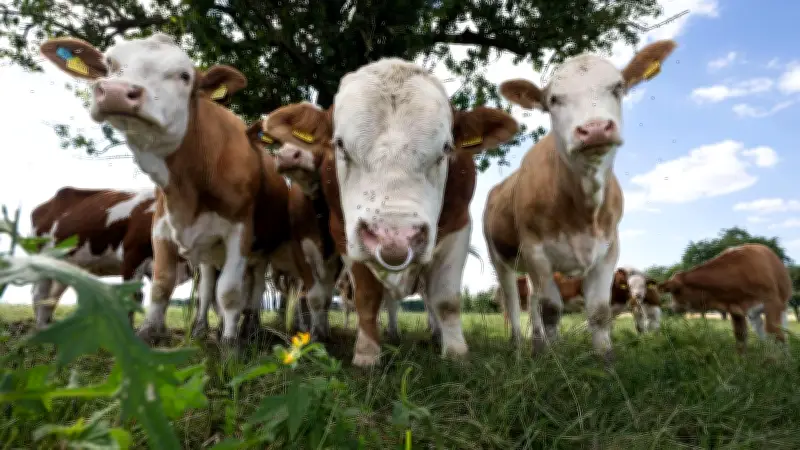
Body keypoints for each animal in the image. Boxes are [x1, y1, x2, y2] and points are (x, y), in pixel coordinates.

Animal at [30, 186, 192, 329]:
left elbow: (162, 293)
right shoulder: (132, 255)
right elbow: (134, 296)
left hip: (68, 266)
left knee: (52, 297)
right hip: (44, 260)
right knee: (39, 294)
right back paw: (41, 328)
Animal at [262, 58, 519, 366]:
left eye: (446, 148)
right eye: (339, 144)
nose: (395, 236)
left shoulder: (458, 226)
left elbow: (445, 299)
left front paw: (456, 353)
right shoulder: (342, 237)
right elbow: (365, 298)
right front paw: (366, 354)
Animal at [484, 40, 677, 362]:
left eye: (618, 86)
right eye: (553, 100)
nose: (596, 128)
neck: (582, 206)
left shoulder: (608, 251)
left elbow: (598, 313)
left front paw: (606, 363)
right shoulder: (536, 250)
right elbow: (552, 310)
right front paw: (553, 360)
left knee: (532, 301)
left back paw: (537, 344)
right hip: (502, 258)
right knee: (513, 302)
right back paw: (519, 348)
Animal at [658, 243, 791, 353]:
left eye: (674, 292)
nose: (672, 307)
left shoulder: (772, 303)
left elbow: (777, 336)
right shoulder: (736, 311)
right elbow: (740, 338)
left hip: (781, 306)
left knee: (781, 333)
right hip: (754, 315)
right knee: (763, 334)